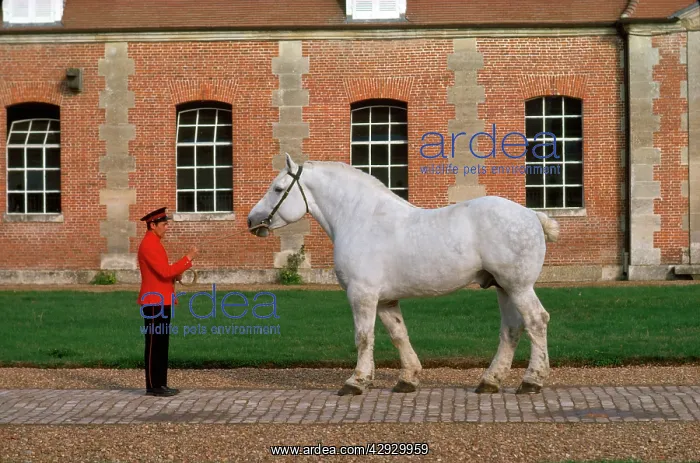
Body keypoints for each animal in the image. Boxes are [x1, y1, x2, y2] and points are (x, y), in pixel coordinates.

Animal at [248, 153, 560, 396]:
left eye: (277, 189)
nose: (252, 220)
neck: (361, 219)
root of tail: (532, 215)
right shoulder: (385, 300)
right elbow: (399, 334)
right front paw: (407, 379)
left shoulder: (362, 295)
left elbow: (363, 337)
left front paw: (356, 382)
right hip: (503, 287)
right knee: (511, 329)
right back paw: (489, 382)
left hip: (518, 286)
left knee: (536, 321)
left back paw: (531, 381)